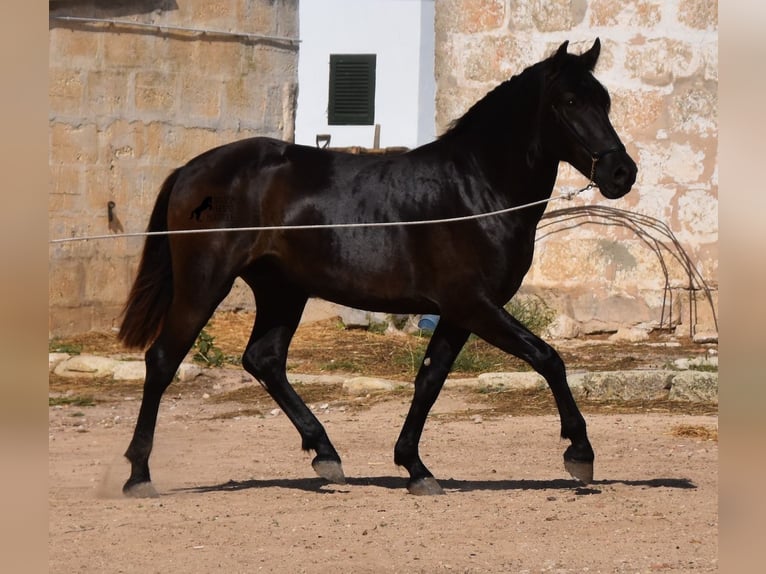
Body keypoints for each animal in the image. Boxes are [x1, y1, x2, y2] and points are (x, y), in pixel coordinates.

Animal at [117, 41, 640, 500]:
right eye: (570, 101)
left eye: (605, 100)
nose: (622, 173)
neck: (475, 190)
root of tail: (190, 170)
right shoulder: (474, 305)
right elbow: (547, 357)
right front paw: (579, 453)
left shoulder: (457, 312)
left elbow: (429, 380)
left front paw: (415, 467)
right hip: (205, 283)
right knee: (162, 360)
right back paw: (138, 476)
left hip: (283, 291)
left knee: (263, 359)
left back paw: (326, 454)